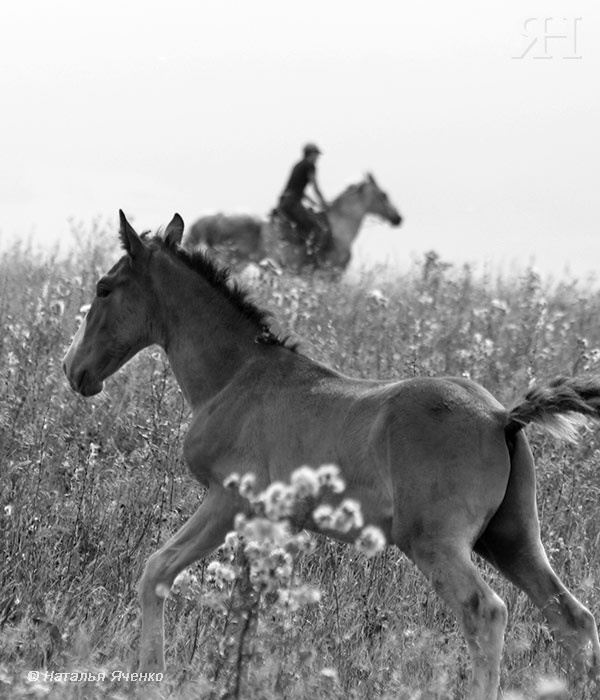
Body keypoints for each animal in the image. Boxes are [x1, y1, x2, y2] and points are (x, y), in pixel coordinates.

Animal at [63, 211, 600, 700]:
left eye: (104, 288)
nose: (73, 369)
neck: (236, 377)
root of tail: (500, 416)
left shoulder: (228, 500)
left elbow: (158, 569)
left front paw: (152, 677)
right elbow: (249, 602)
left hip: (435, 542)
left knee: (485, 612)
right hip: (511, 538)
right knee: (572, 617)